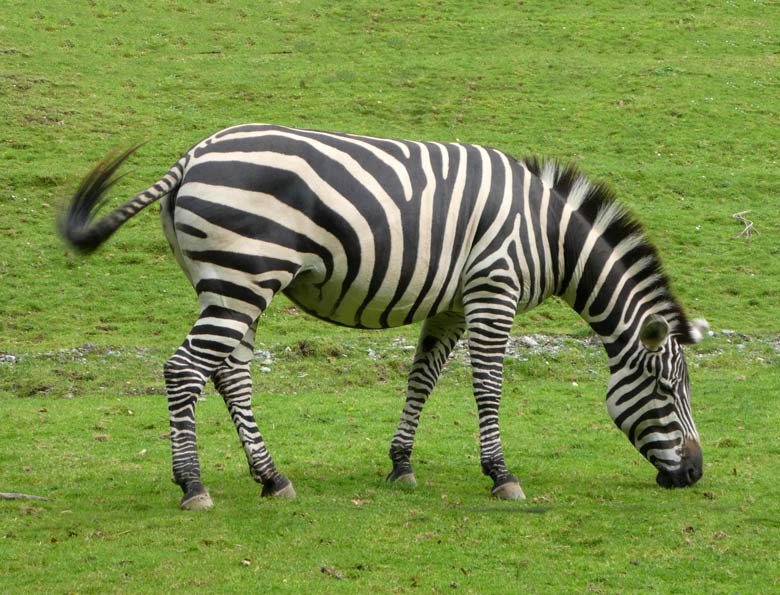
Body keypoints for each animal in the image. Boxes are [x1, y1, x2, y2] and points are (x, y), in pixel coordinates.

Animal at [59, 123, 708, 510]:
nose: (696, 473)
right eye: (666, 390)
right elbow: (488, 386)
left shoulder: (451, 303)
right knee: (184, 371)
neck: (548, 236)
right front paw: (501, 474)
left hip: (229, 283)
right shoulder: (492, 290)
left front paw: (401, 464)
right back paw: (193, 484)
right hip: (244, 278)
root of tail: (191, 157)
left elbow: (422, 379)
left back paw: (272, 478)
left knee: (229, 372)